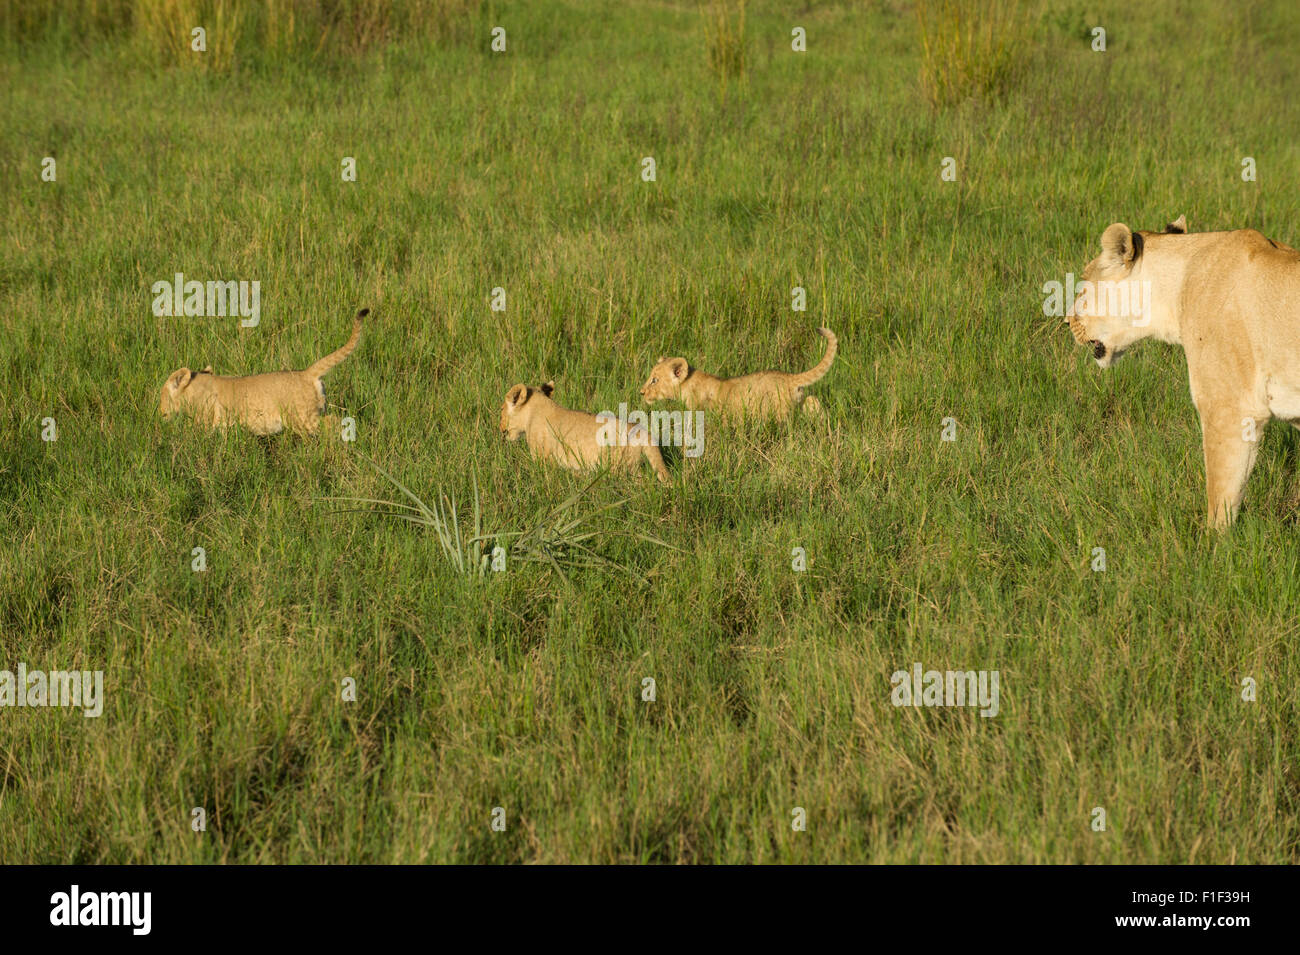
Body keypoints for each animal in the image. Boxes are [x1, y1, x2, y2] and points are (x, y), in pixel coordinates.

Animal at [159, 308, 365, 435]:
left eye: (162, 395)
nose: (161, 414)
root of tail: (307, 372)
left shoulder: (205, 422)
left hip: (304, 419)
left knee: (335, 423)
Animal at [499, 380, 671, 484]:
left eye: (501, 409)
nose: (500, 428)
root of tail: (642, 431)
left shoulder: (542, 458)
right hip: (632, 466)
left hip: (618, 468)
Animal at [640, 327, 837, 420]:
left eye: (654, 380)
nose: (641, 393)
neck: (688, 384)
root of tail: (790, 377)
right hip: (801, 401)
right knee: (813, 400)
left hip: (777, 412)